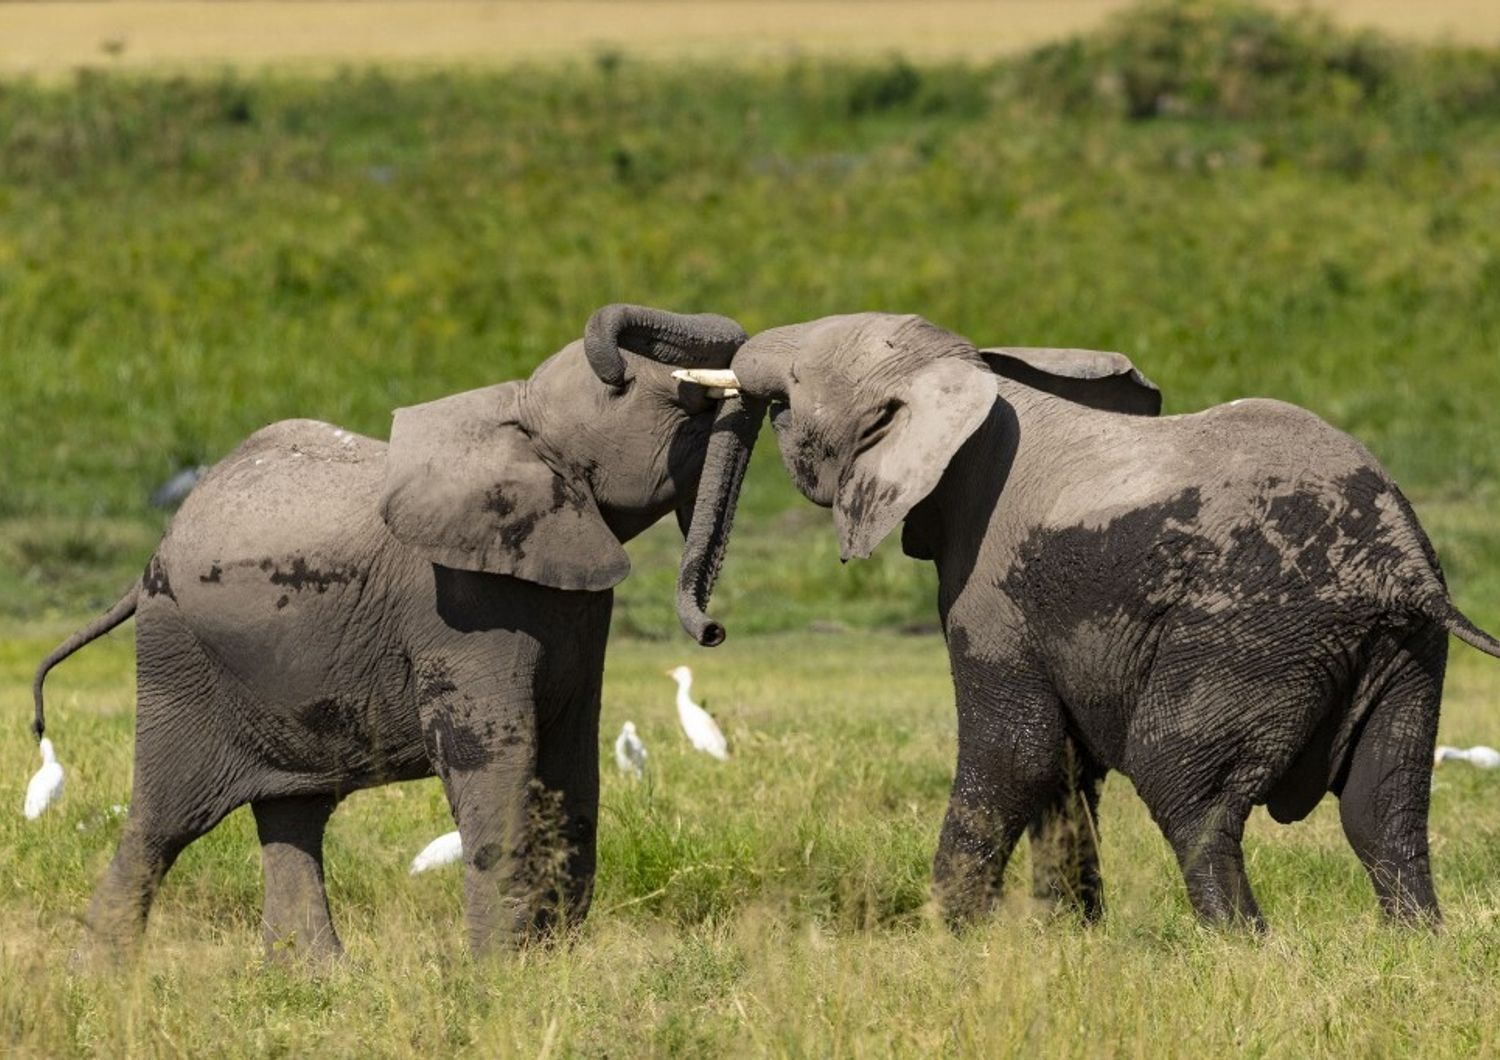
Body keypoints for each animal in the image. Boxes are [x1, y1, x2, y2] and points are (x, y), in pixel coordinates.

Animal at [32, 302, 762, 959]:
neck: (515, 417)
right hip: (177, 655)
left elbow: (572, 775)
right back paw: (100, 984)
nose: (714, 631)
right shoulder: (458, 607)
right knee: (160, 825)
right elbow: (493, 768)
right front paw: (501, 980)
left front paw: (554, 970)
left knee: (294, 815)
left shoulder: (577, 604)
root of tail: (154, 555)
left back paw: (314, 983)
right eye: (627, 391)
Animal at [678, 313, 1500, 929]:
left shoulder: (989, 589)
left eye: (791, 391)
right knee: (1383, 803)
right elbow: (1067, 766)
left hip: (1254, 630)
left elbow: (1019, 753)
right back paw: (1415, 944)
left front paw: (942, 938)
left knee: (1186, 786)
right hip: (1398, 649)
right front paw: (1067, 937)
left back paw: (1243, 947)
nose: (713, 632)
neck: (969, 380)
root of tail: (1404, 559)